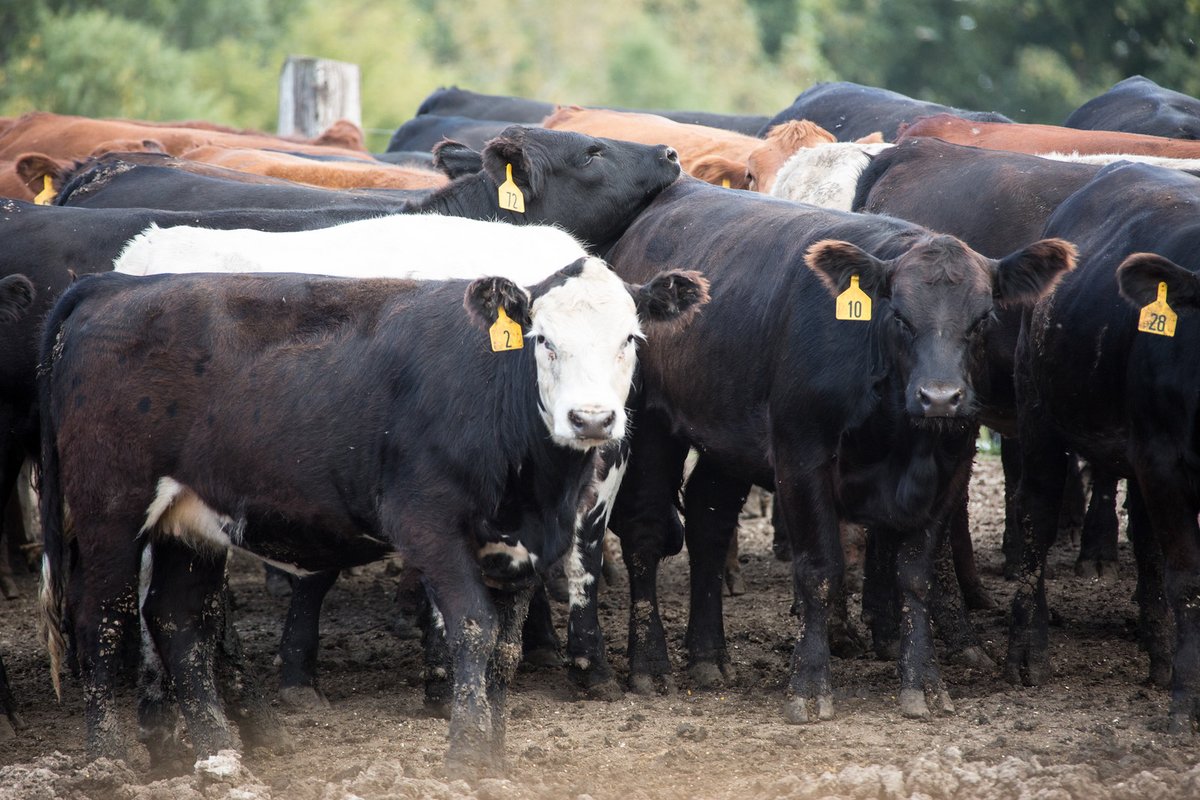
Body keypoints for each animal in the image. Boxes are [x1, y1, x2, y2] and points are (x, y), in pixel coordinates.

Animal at [37, 259, 709, 772]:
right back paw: (108, 759)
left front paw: (494, 753)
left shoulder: (518, 548)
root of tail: (114, 285)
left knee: (177, 618)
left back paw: (218, 749)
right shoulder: (428, 525)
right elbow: (473, 629)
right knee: (102, 617)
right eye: (542, 339)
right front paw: (467, 756)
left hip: (192, 521)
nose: (591, 419)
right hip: (110, 507)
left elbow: (505, 650)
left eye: (630, 339)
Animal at [597, 177, 1073, 722]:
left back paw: (708, 658)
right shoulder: (801, 458)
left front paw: (924, 682)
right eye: (900, 316)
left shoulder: (949, 469)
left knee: (708, 523)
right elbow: (820, 570)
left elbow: (916, 577)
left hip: (726, 438)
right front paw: (809, 684)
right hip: (649, 425)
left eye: (983, 318)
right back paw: (650, 665)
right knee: (646, 531)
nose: (939, 397)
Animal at [1010, 160, 1200, 735]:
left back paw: (1159, 652)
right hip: (1039, 415)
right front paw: (1185, 705)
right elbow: (1189, 580)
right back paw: (1028, 653)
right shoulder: (1165, 463)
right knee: (1034, 518)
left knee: (1146, 546)